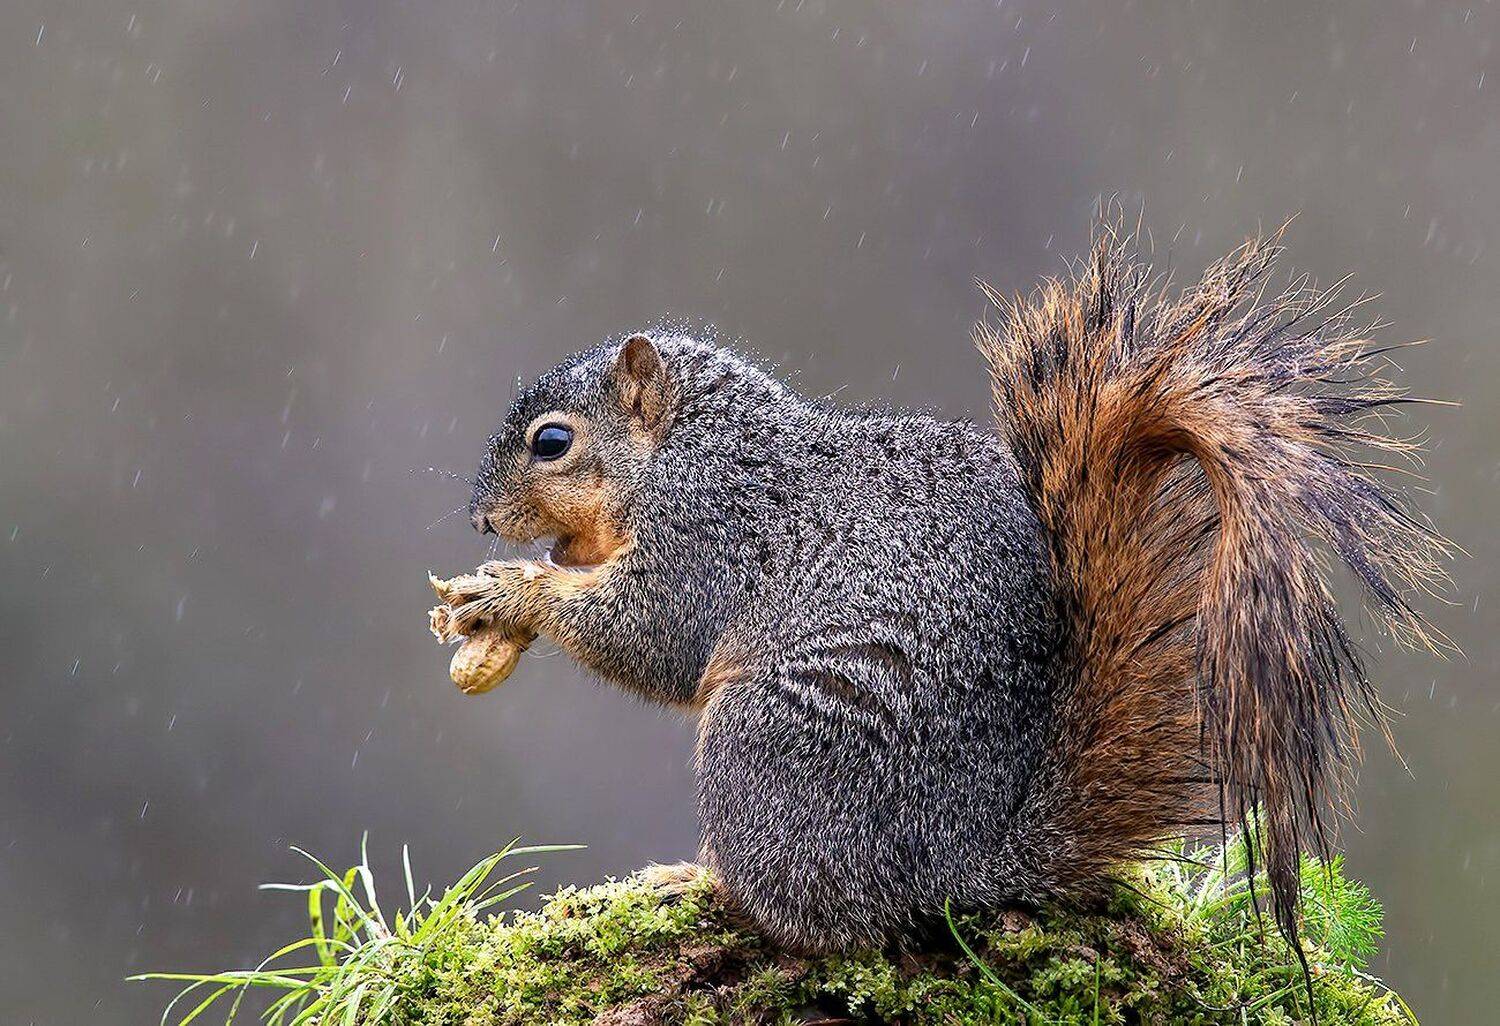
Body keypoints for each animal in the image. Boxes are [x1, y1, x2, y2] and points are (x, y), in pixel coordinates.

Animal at [433, 223, 1446, 958]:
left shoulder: (709, 534)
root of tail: (963, 865)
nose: (480, 522)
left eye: (553, 441)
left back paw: (700, 884)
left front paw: (515, 593)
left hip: (768, 745)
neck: (687, 448)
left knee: (817, 917)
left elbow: (654, 635)